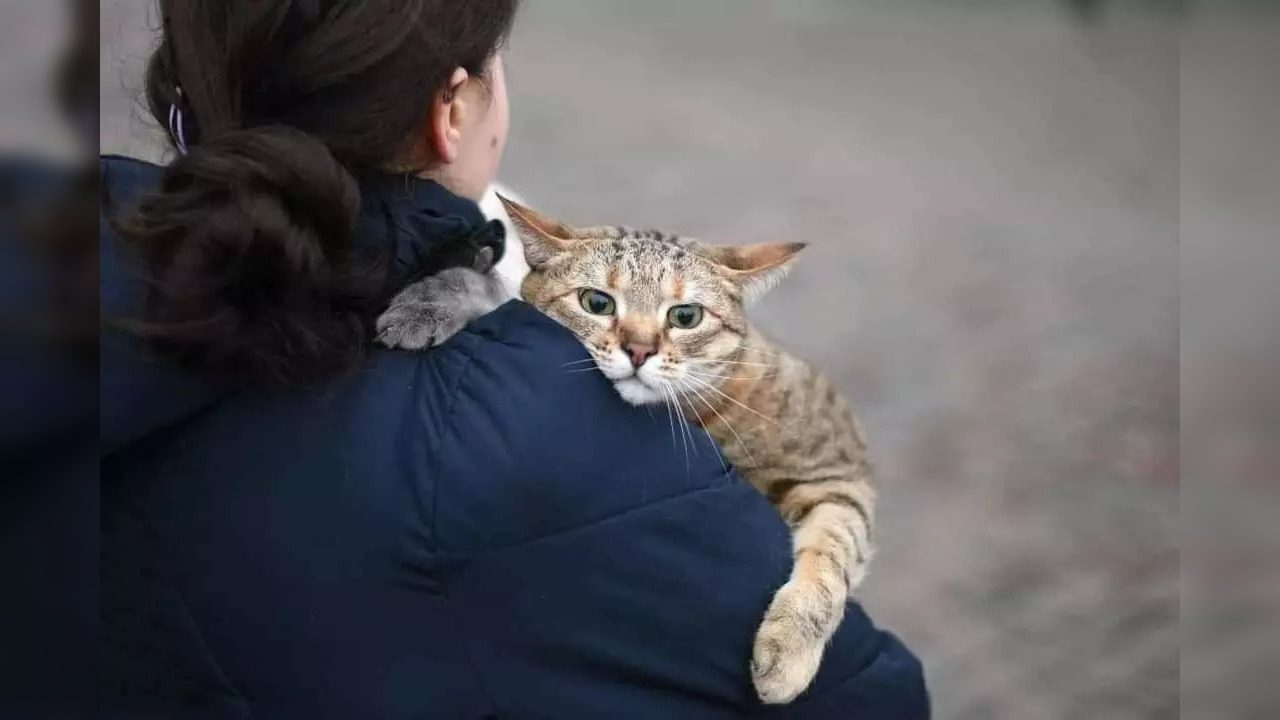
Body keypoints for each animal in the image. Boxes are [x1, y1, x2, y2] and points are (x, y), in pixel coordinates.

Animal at [373, 196, 880, 702]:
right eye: (596, 302)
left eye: (685, 316)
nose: (638, 350)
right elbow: (495, 293)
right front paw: (429, 303)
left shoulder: (838, 469)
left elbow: (832, 553)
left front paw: (788, 648)